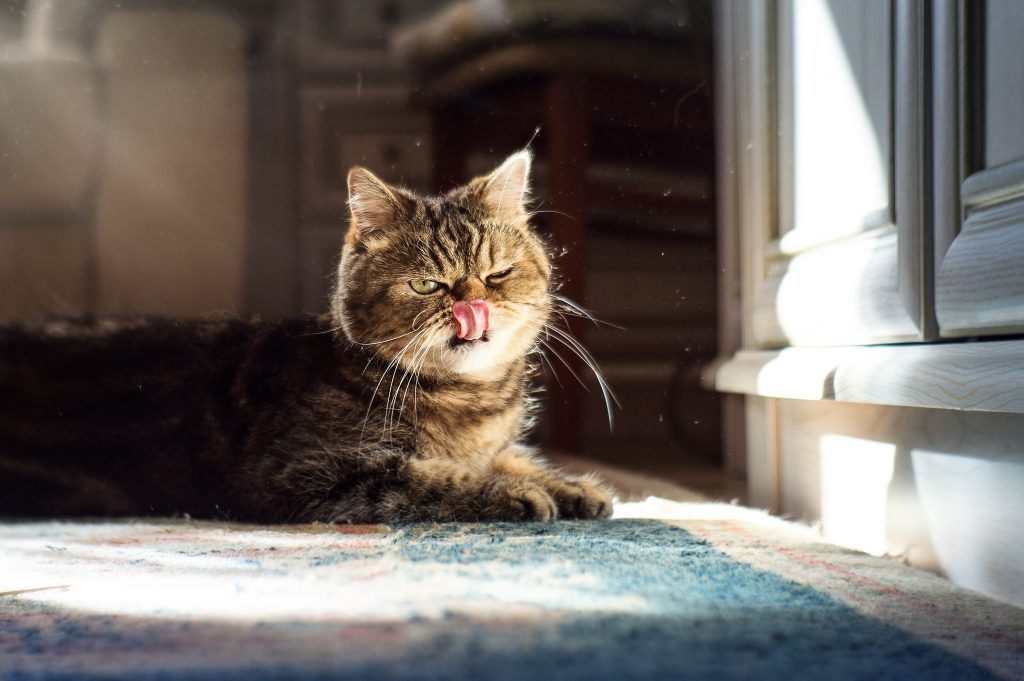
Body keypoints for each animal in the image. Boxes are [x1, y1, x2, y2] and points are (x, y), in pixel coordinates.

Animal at [0, 150, 610, 520]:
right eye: (426, 284)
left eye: (498, 273)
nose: (472, 304)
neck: (470, 402)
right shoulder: (305, 471)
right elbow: (430, 479)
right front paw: (519, 492)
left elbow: (511, 456)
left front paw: (574, 486)